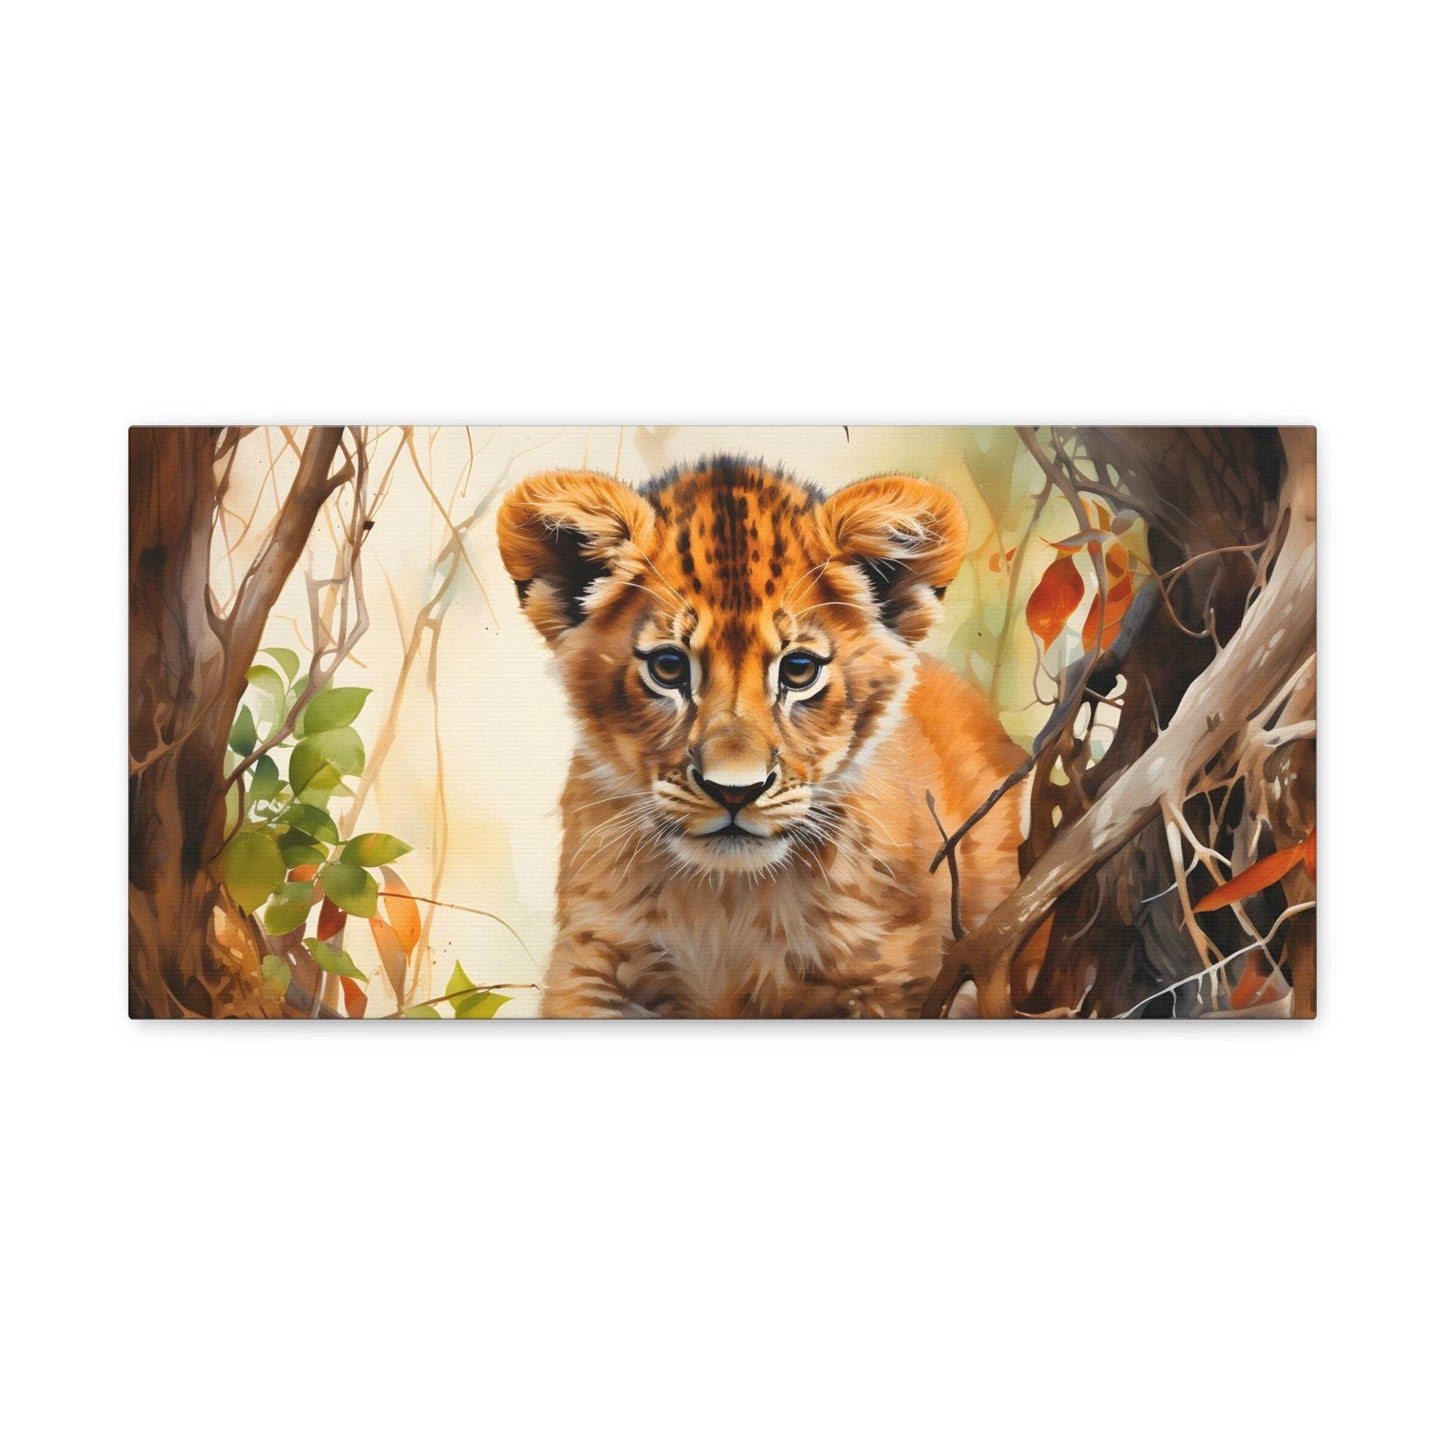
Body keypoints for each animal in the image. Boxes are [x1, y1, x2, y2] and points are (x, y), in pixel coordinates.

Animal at [496, 456, 1029, 1017]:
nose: (735, 791)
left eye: (798, 670)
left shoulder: (892, 977)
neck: (726, 900)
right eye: (668, 667)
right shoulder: (591, 963)